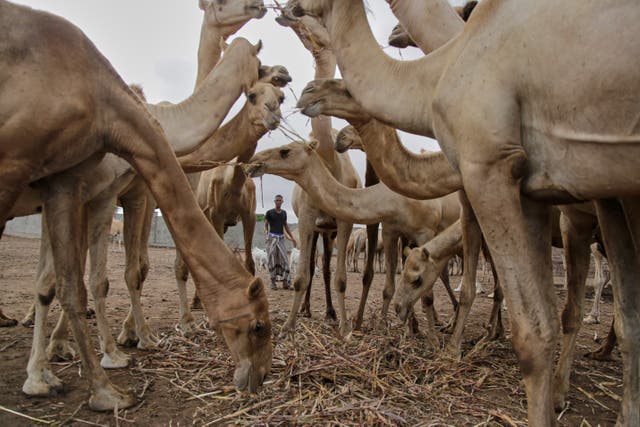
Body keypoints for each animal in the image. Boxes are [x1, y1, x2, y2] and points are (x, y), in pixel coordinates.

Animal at [0, 2, 271, 411]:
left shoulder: (85, 188)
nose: (260, 376)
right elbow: (101, 275)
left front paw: (96, 358)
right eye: (258, 326)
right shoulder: (88, 187)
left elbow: (87, 279)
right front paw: (116, 355)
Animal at [291, 1, 640, 423]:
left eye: (346, 89)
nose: (306, 91)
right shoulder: (549, 195)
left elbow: (524, 314)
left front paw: (454, 346)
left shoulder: (498, 176)